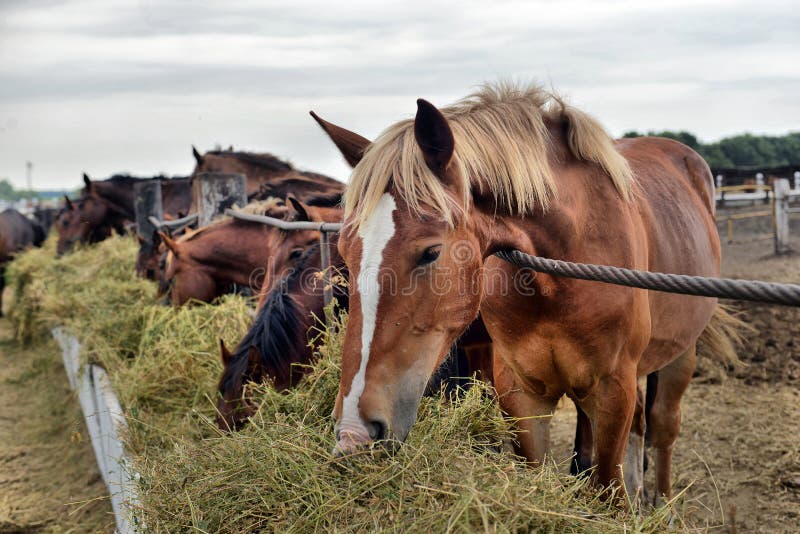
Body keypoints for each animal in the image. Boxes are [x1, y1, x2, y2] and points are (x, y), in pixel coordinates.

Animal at [312, 82, 739, 502]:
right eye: (345, 251)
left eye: (430, 252)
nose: (354, 433)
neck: (562, 272)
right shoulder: (522, 392)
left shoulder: (611, 391)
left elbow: (606, 487)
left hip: (681, 354)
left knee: (663, 430)